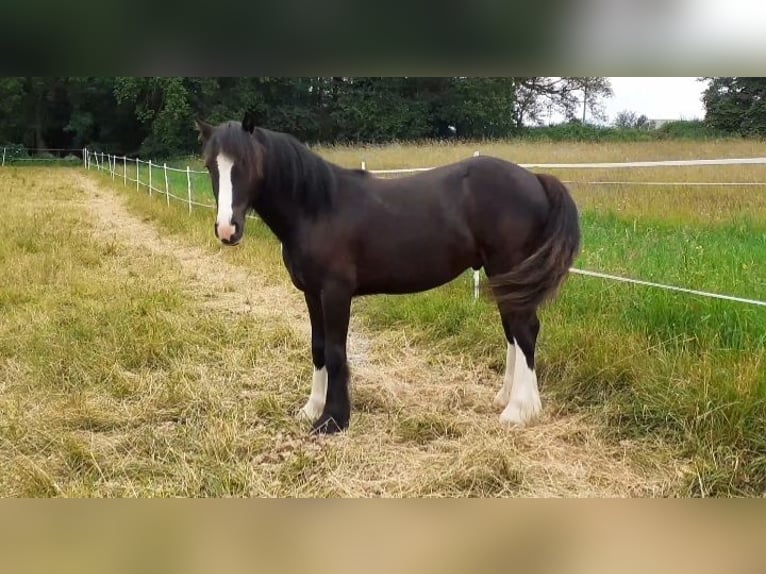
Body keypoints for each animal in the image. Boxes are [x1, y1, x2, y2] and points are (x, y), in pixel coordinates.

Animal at [195, 115, 580, 434]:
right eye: (210, 165)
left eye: (246, 163)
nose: (227, 229)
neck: (317, 207)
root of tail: (536, 179)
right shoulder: (312, 293)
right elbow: (318, 348)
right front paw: (311, 409)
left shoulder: (335, 293)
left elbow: (335, 351)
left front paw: (333, 420)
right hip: (506, 278)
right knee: (513, 332)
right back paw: (505, 398)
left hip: (509, 268)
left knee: (525, 331)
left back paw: (519, 411)